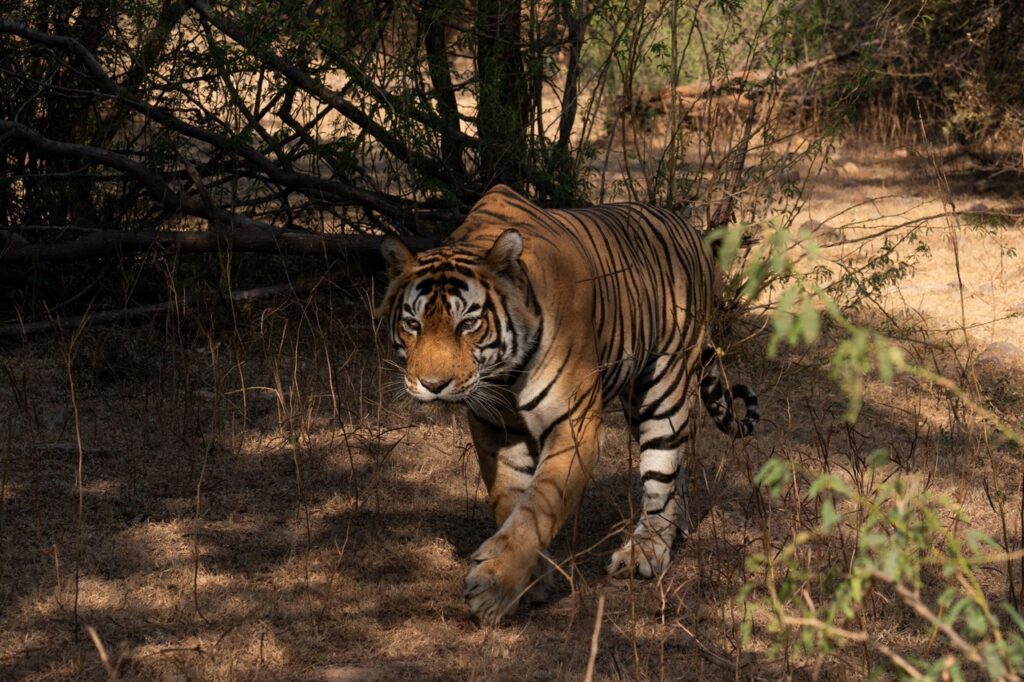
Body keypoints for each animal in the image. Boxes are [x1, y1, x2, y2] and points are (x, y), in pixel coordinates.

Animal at [380, 183, 757, 622]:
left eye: (468, 324)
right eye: (413, 325)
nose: (433, 384)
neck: (502, 376)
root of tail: (690, 229)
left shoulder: (574, 426)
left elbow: (539, 506)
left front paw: (493, 586)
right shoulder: (496, 430)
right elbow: (511, 501)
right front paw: (530, 581)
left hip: (664, 386)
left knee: (661, 472)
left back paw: (646, 552)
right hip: (638, 400)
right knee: (676, 460)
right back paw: (674, 530)